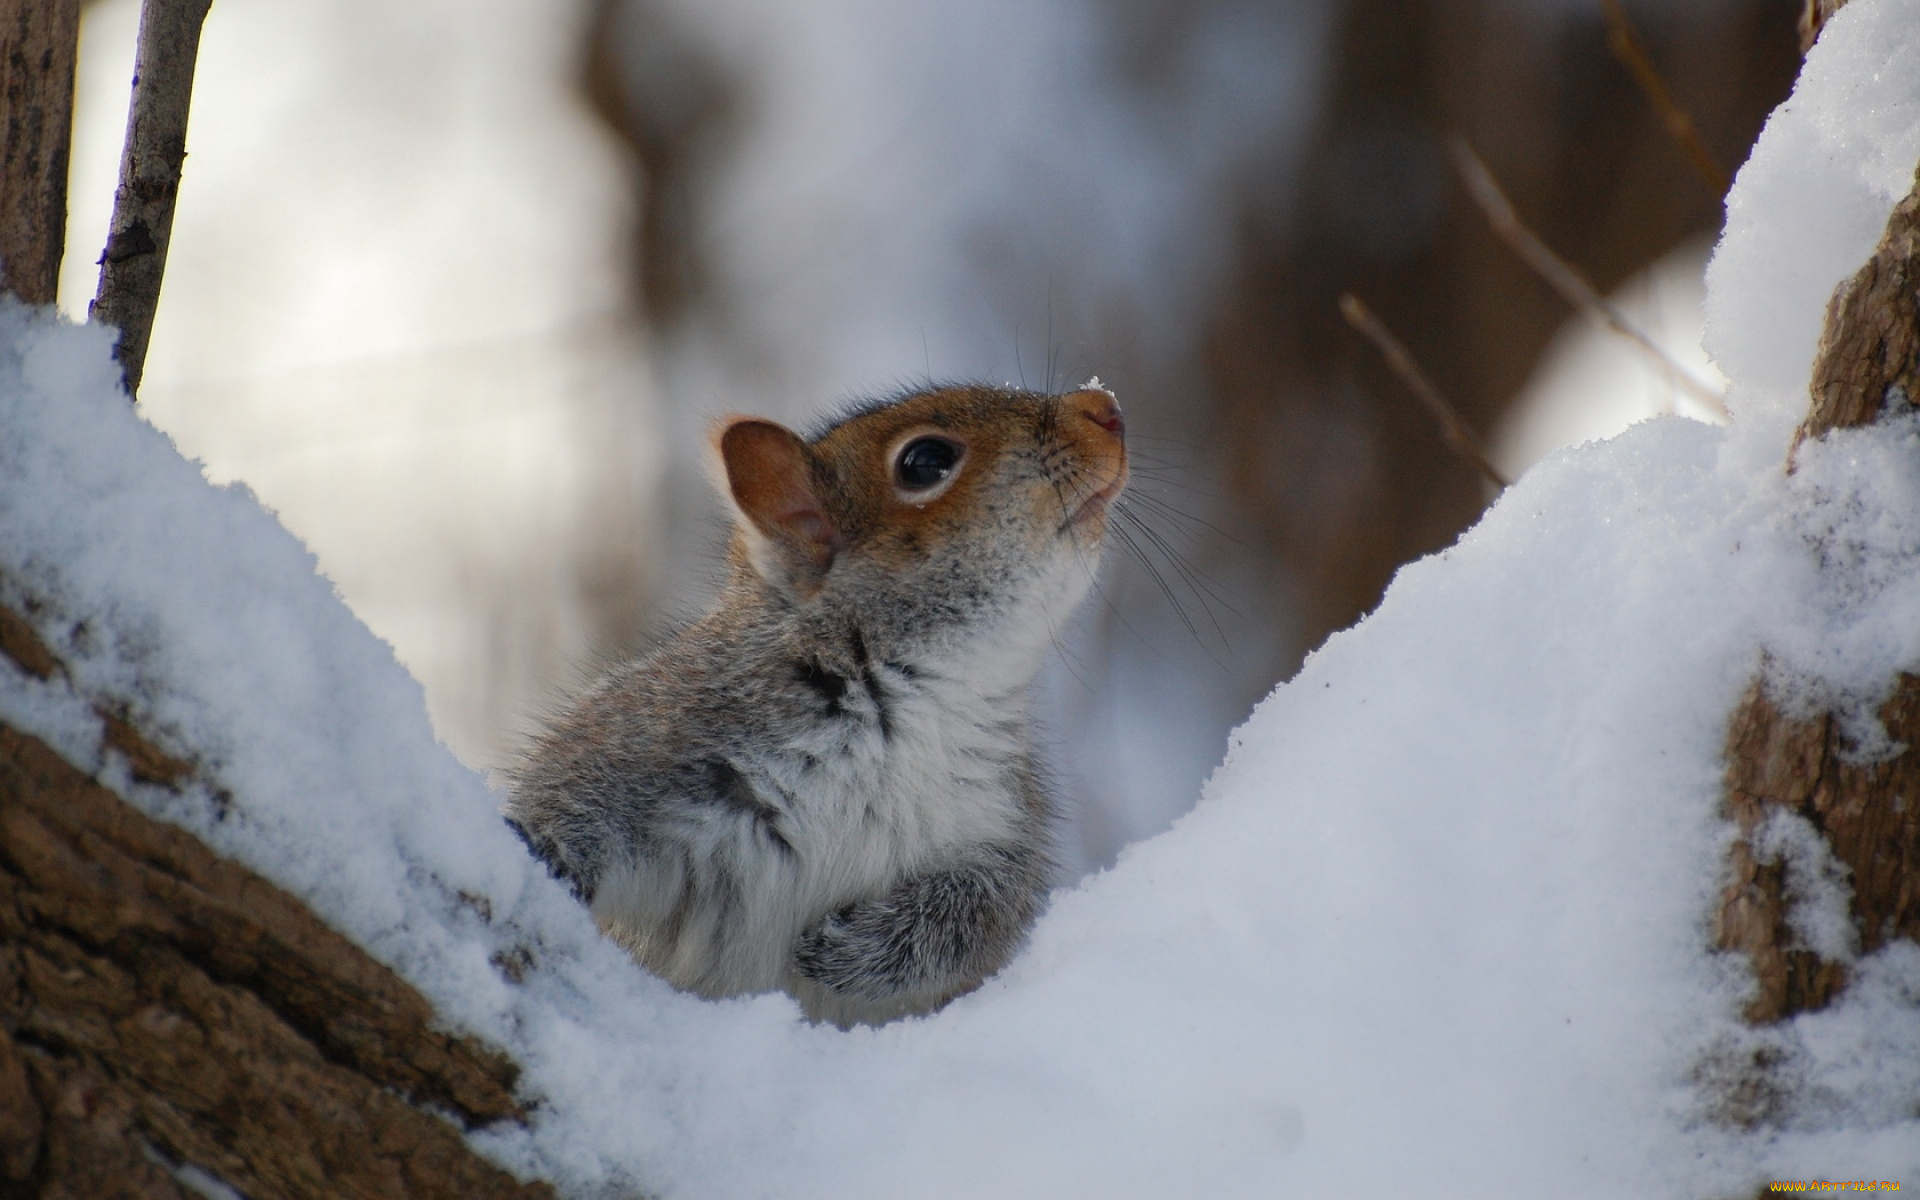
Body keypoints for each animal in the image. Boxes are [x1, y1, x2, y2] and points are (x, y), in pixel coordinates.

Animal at [506, 382, 1121, 1021]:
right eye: (925, 461)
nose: (1103, 408)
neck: (916, 700)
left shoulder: (1001, 817)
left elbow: (981, 914)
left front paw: (845, 952)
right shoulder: (658, 727)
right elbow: (565, 789)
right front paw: (548, 856)